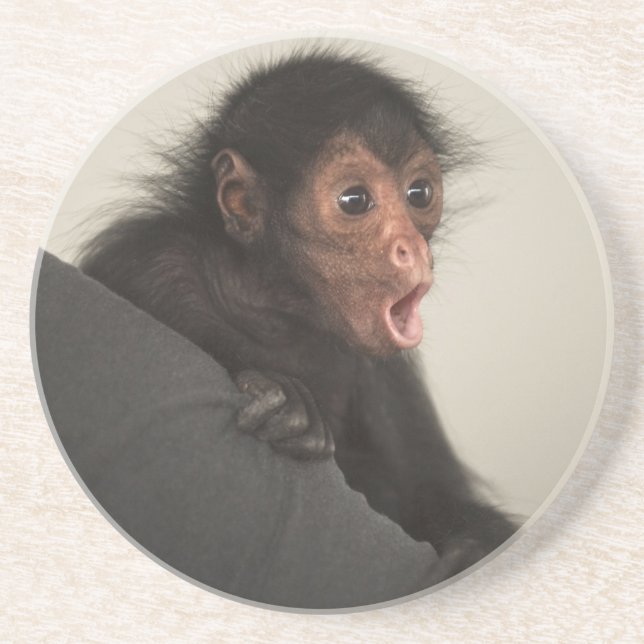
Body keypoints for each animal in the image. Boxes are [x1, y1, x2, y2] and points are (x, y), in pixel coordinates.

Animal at [77, 48, 517, 579]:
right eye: (354, 200)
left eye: (419, 195)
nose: (411, 247)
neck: (272, 311)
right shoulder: (150, 264)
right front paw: (286, 401)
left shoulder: (385, 371)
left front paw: (472, 545)